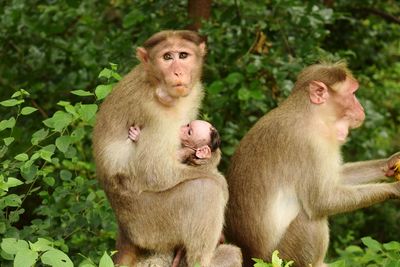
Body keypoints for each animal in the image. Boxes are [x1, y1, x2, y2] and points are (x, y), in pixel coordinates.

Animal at [92, 29, 241, 267]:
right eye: (167, 57)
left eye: (183, 55)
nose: (178, 72)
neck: (155, 84)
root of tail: (125, 231)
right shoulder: (152, 112)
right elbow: (155, 172)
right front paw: (218, 179)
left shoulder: (194, 92)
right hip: (150, 226)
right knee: (204, 189)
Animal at [225, 61, 400, 267]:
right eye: (353, 93)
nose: (361, 108)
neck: (310, 114)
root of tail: (252, 258)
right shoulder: (311, 143)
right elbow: (322, 200)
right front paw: (394, 188)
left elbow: (336, 178)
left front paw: (390, 163)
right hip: (281, 256)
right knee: (310, 217)